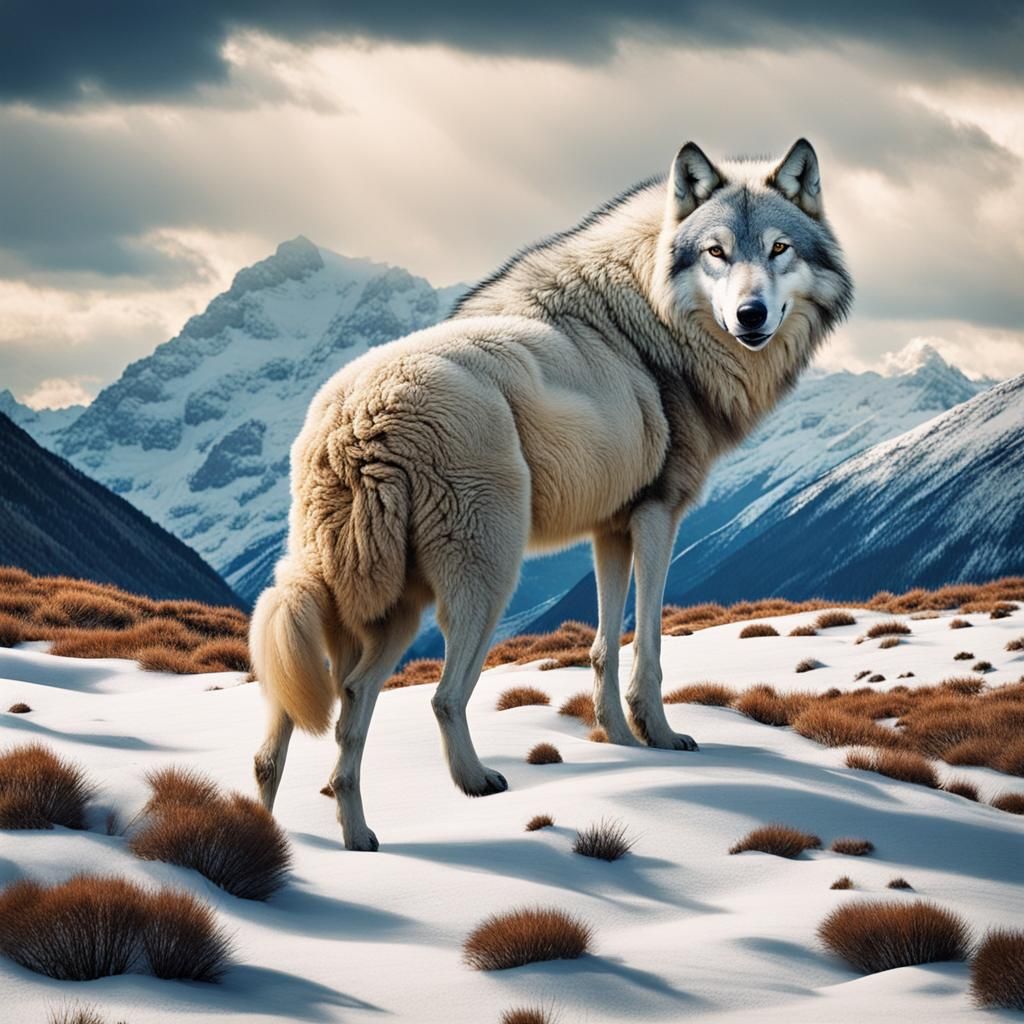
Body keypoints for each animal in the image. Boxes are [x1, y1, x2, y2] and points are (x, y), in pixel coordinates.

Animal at [250, 138, 853, 850]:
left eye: (780, 249)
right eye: (717, 252)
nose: (750, 315)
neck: (657, 325)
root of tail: (352, 423)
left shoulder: (611, 527)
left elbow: (602, 647)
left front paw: (619, 740)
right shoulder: (658, 514)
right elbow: (648, 646)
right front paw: (661, 737)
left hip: (365, 605)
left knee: (310, 722)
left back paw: (318, 835)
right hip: (482, 581)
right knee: (440, 696)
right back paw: (473, 783)